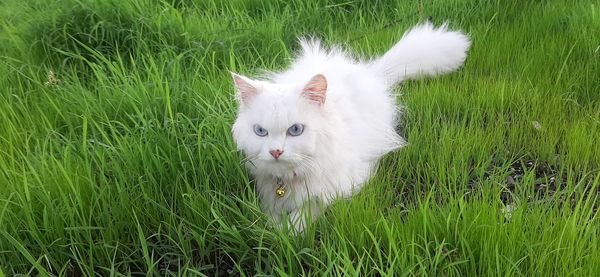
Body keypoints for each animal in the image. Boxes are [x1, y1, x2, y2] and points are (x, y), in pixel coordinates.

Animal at [230, 22, 468, 231]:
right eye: (260, 131)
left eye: (295, 130)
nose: (276, 152)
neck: (289, 179)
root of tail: (371, 71)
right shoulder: (267, 190)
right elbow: (268, 218)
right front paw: (272, 231)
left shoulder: (340, 186)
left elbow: (306, 211)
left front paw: (287, 233)